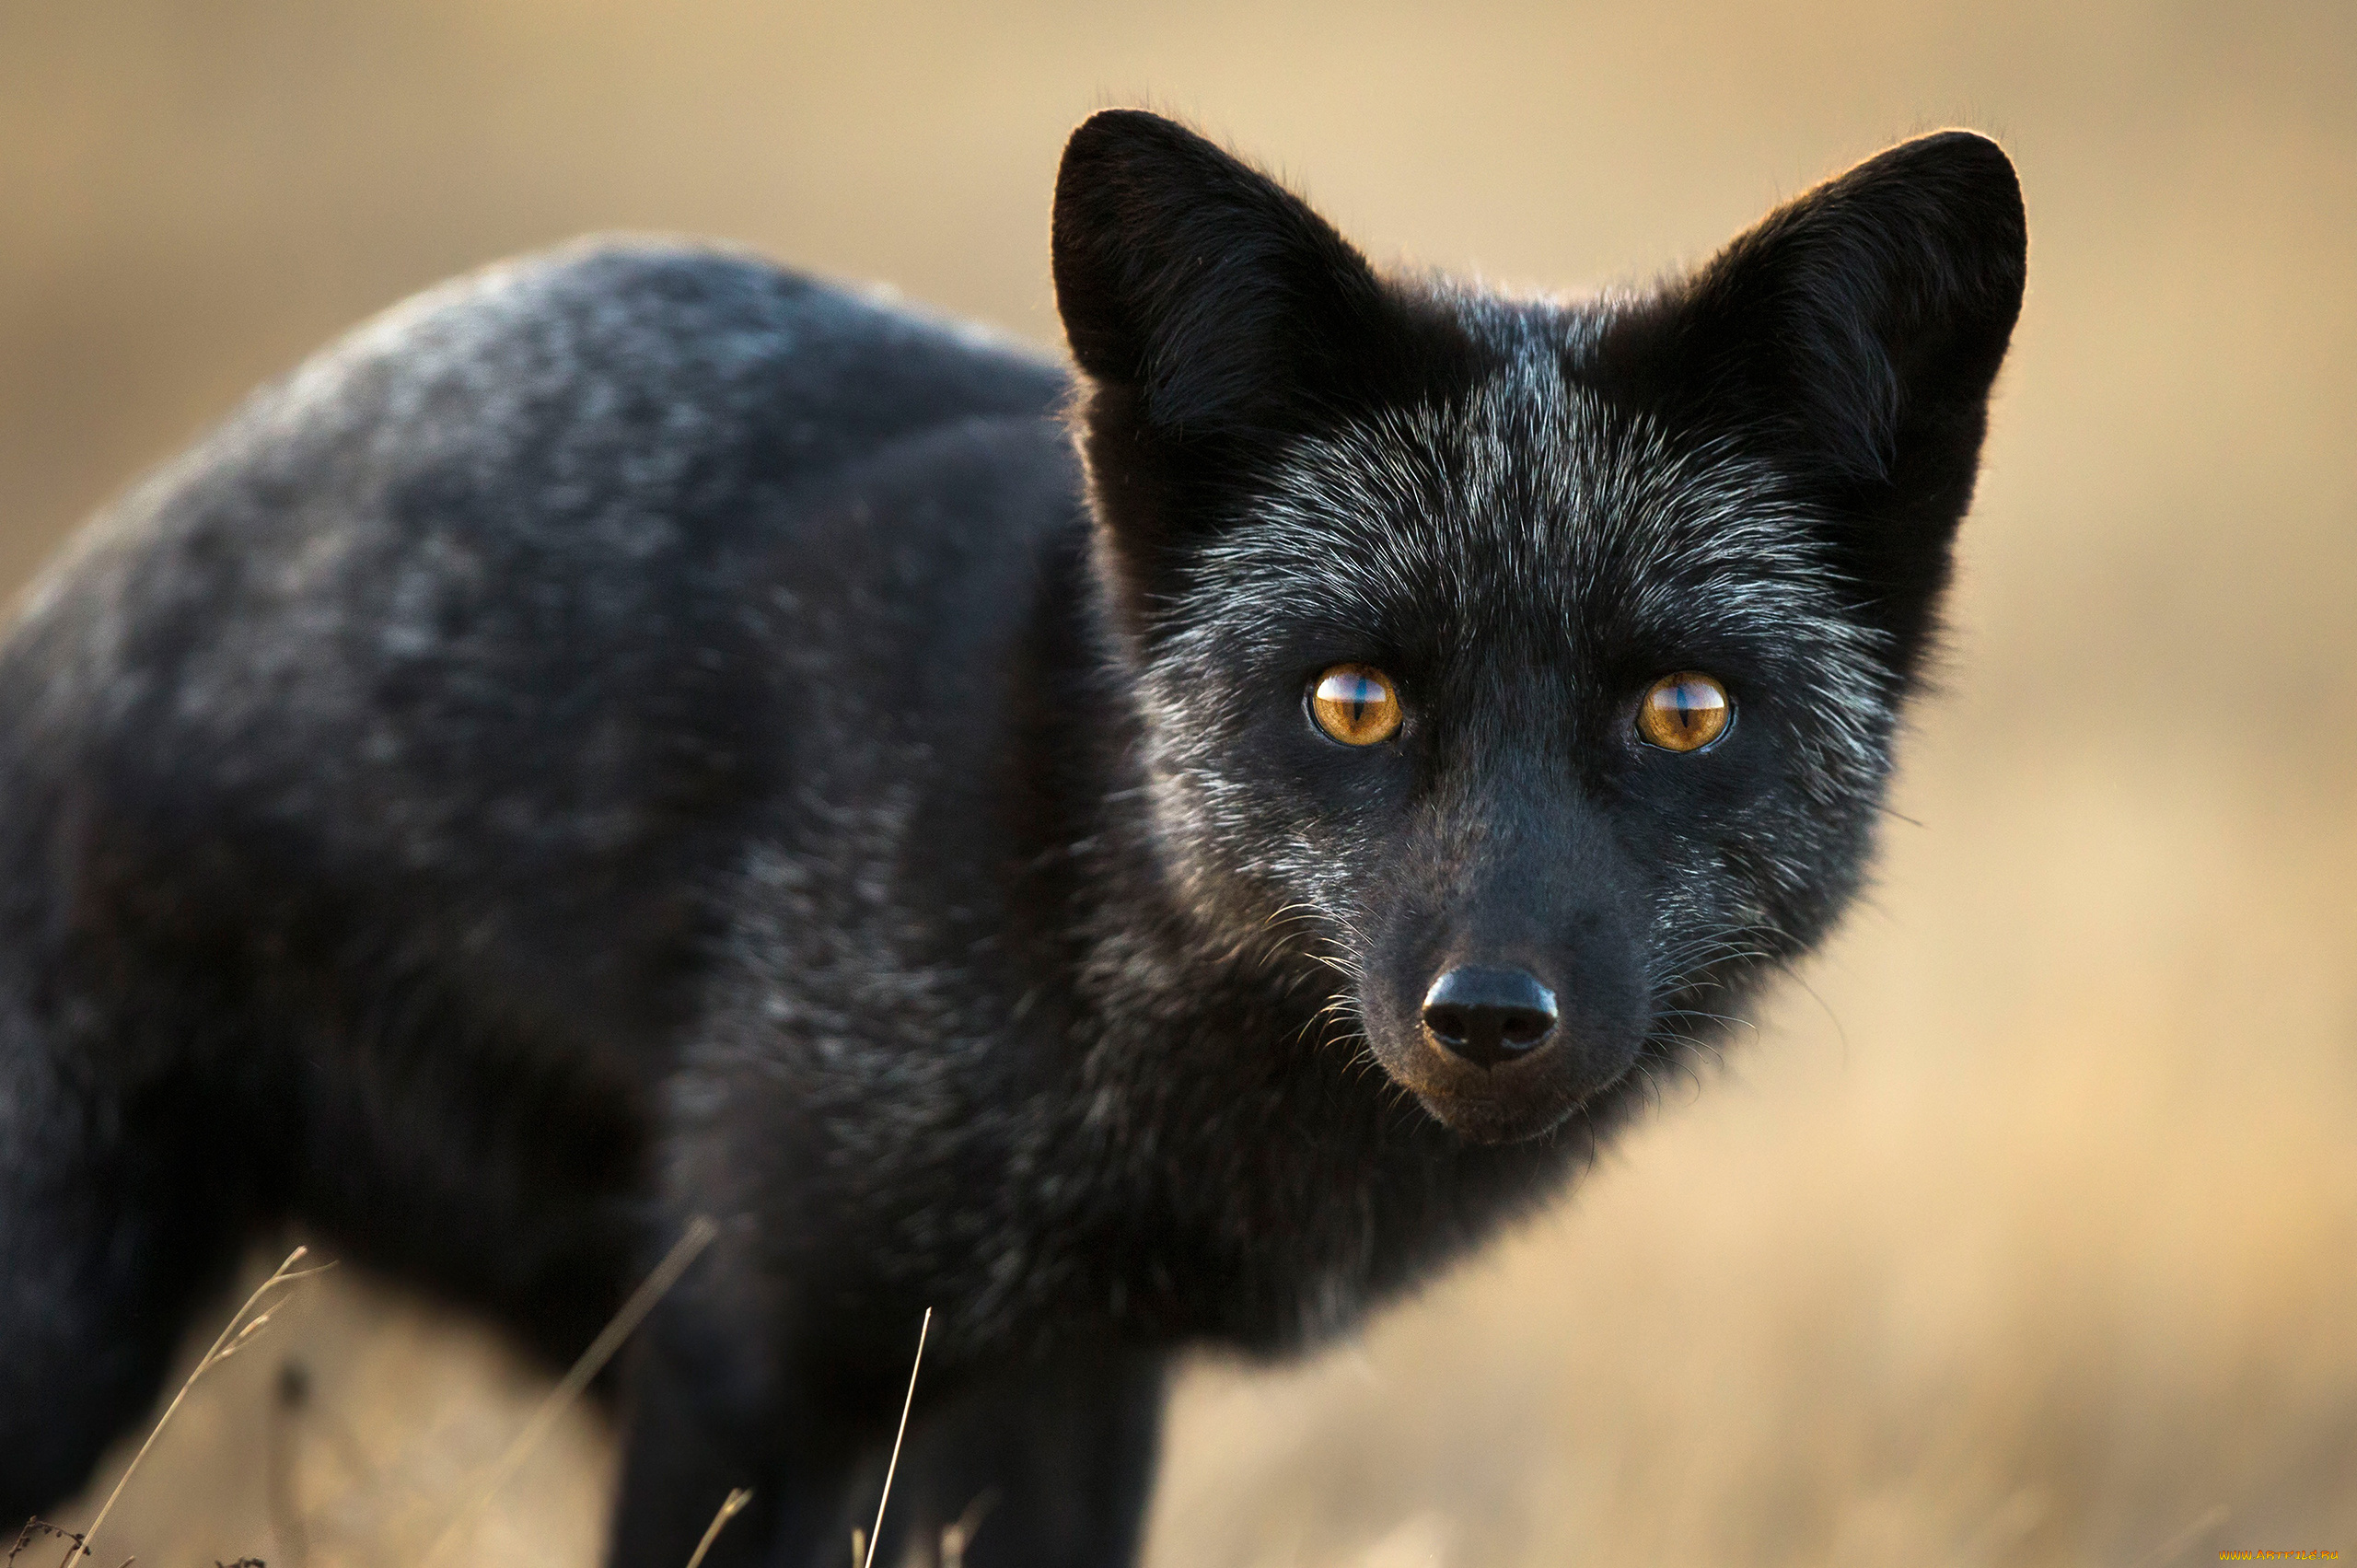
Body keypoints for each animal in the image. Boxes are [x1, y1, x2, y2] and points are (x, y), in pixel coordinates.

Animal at [0, 110, 2024, 1565]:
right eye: (1352, 700)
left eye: (1680, 712)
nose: (1488, 1015)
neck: (1082, 886)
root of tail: (70, 607)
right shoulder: (754, 1339)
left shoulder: (1064, 1375)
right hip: (78, 1331)